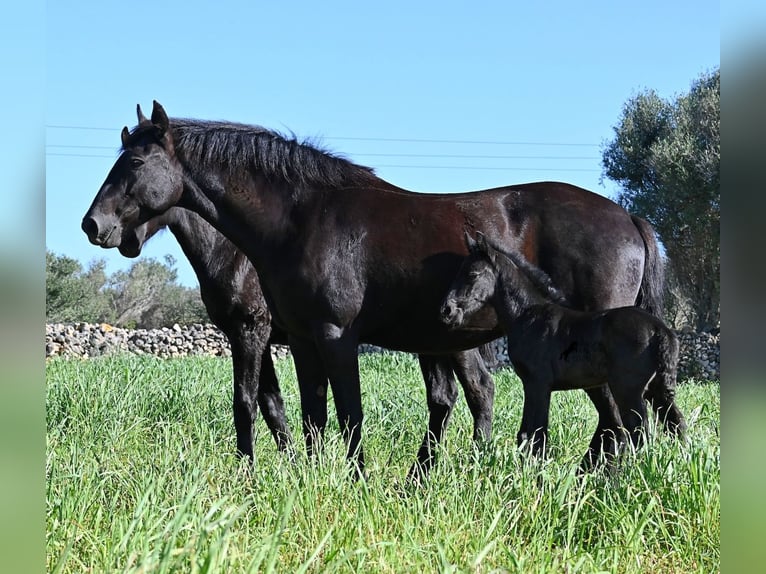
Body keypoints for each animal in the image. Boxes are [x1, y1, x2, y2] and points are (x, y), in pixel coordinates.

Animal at [118, 206, 499, 475]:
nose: (126, 241)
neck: (233, 253)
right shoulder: (260, 340)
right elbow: (272, 405)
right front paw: (294, 466)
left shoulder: (250, 332)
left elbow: (250, 402)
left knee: (478, 389)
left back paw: (474, 462)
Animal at [440, 231, 687, 459]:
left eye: (472, 273)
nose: (446, 310)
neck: (528, 314)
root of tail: (661, 330)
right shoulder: (532, 384)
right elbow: (527, 434)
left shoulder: (538, 383)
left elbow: (536, 433)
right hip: (657, 389)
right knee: (676, 424)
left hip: (629, 389)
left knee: (640, 431)